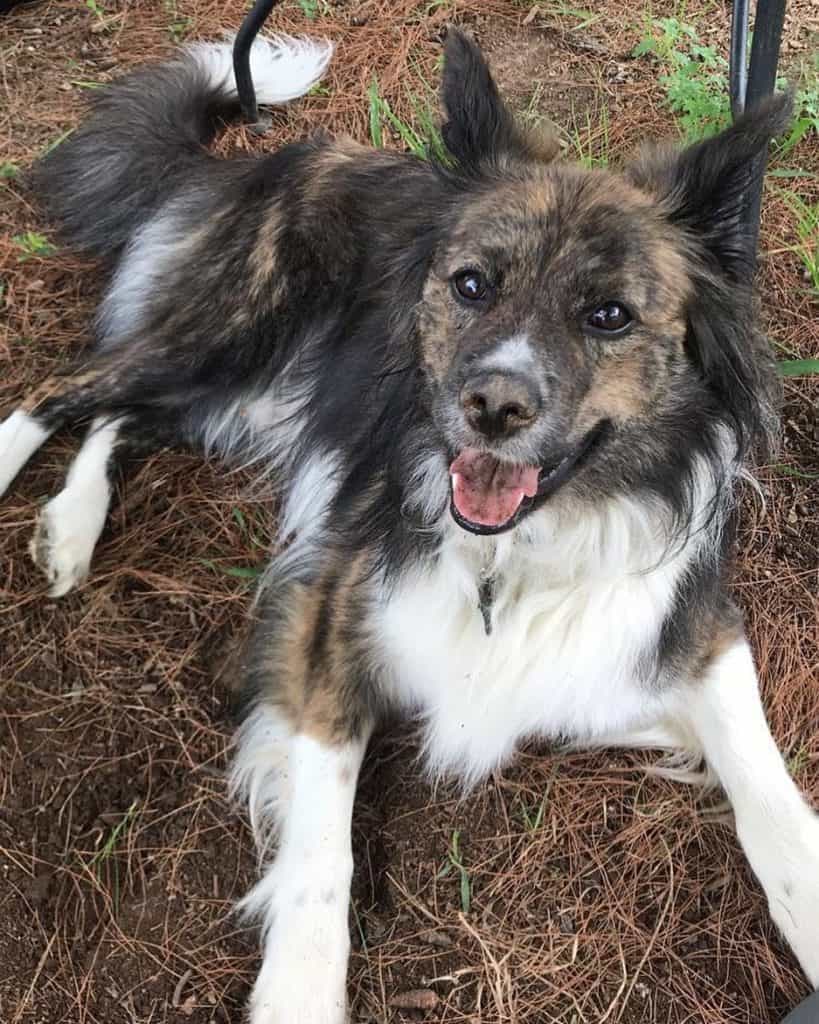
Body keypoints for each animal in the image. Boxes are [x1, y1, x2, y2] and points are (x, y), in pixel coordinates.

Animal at [1, 28, 818, 1019]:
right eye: (470, 285)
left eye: (609, 314)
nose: (492, 406)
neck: (513, 556)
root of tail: (283, 154)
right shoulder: (322, 620)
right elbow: (321, 859)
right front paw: (299, 991)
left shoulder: (686, 631)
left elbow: (762, 782)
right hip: (227, 334)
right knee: (68, 389)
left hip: (254, 397)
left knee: (122, 418)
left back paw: (70, 526)